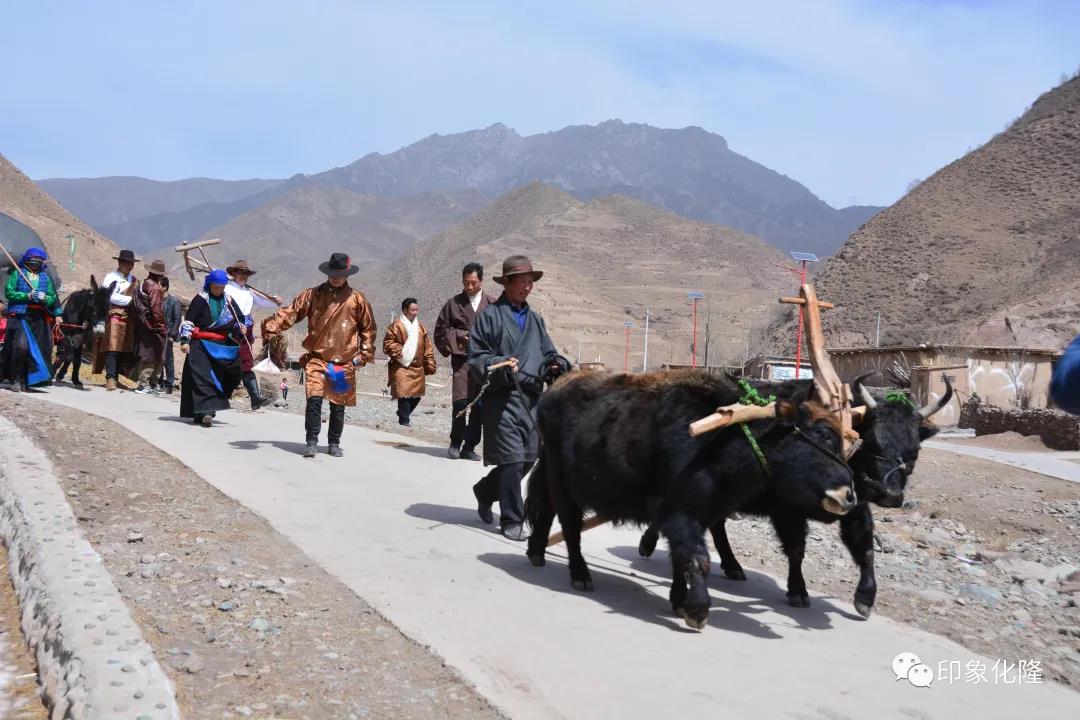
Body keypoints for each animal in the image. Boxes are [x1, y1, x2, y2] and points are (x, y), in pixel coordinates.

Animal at [523, 369, 858, 630]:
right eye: (823, 435)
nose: (849, 495)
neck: (721, 439)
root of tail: (555, 388)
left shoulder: (704, 513)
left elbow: (680, 558)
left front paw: (679, 600)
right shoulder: (680, 512)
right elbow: (696, 558)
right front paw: (697, 610)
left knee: (546, 510)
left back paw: (536, 551)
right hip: (563, 483)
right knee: (569, 527)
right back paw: (580, 575)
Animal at [637, 375, 953, 618]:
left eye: (915, 450)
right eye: (872, 440)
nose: (889, 494)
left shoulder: (856, 506)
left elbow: (864, 547)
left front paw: (865, 598)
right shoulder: (786, 510)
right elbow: (797, 549)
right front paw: (798, 591)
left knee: (715, 525)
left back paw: (733, 566)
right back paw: (648, 544)